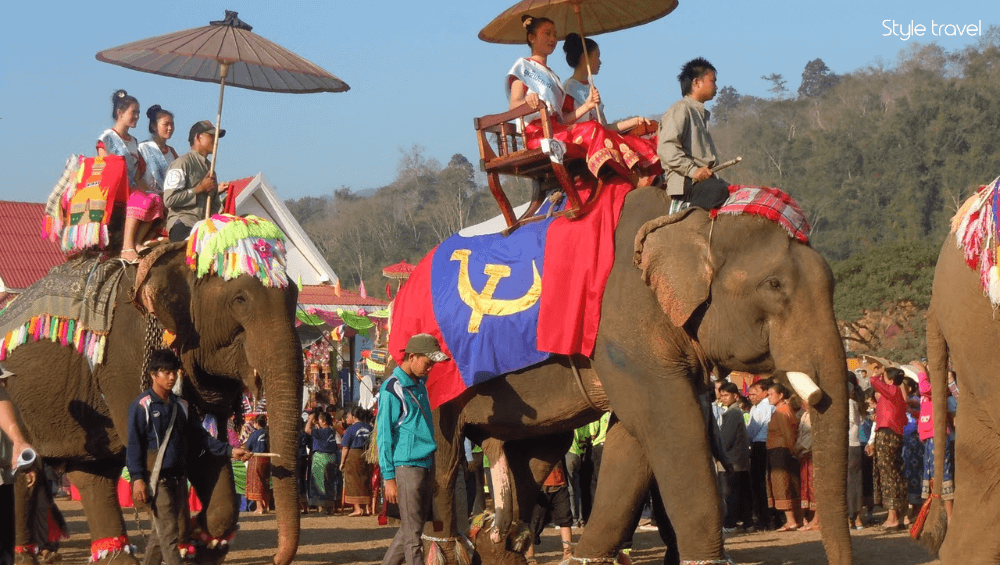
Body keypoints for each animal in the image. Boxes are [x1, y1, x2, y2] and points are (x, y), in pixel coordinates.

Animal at [1, 241, 303, 565]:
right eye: (240, 299)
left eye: (295, 296)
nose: (276, 558)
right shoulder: (123, 360)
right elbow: (151, 455)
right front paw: (186, 544)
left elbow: (207, 449)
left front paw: (202, 541)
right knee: (26, 474)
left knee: (92, 473)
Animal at [417, 185, 853, 565]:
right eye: (774, 285)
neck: (689, 220)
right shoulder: (623, 324)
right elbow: (671, 425)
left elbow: (633, 439)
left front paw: (587, 558)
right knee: (446, 454)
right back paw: (446, 546)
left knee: (538, 450)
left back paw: (496, 547)